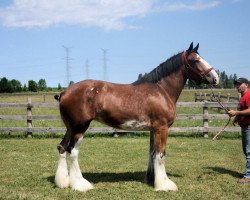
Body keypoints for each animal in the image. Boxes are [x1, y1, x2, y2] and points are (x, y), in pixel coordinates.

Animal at [54, 42, 219, 192]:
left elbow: (152, 153)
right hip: (80, 127)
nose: (216, 78)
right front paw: (164, 185)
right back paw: (81, 185)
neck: (161, 90)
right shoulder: (162, 128)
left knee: (62, 147)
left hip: (70, 127)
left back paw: (63, 182)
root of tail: (64, 92)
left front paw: (152, 179)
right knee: (72, 151)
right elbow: (161, 154)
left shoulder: (154, 129)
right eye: (195, 60)